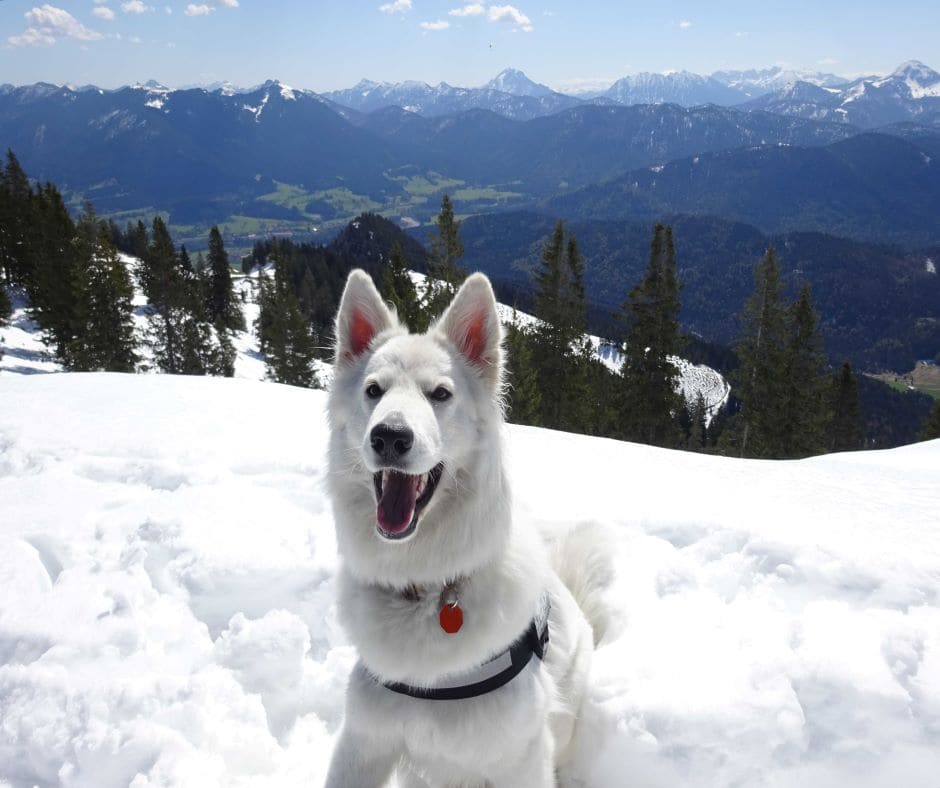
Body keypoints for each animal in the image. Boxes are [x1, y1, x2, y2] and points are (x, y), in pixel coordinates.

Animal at [326, 270, 604, 788]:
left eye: (440, 394)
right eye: (374, 391)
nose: (389, 436)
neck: (425, 587)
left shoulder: (521, 758)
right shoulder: (364, 742)